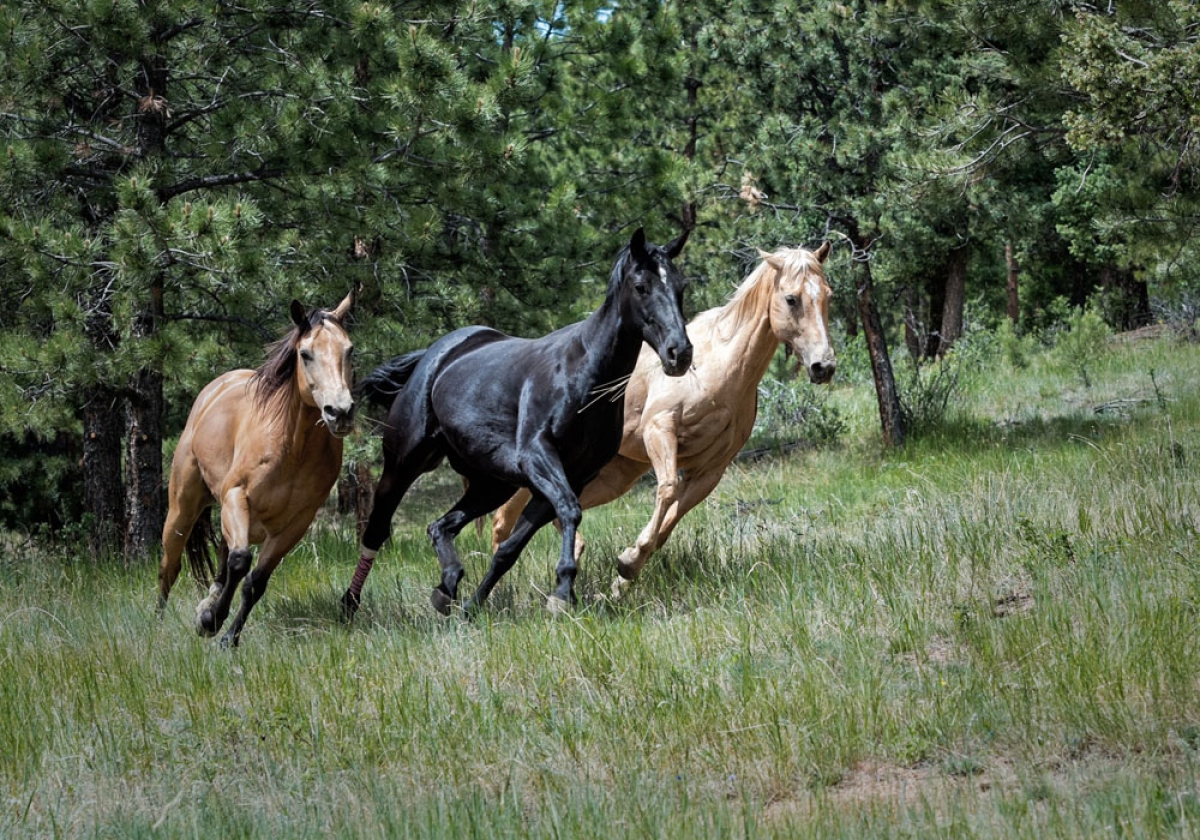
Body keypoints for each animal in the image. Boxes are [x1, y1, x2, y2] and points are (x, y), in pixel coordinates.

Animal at [153, 285, 355, 648]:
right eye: (306, 354)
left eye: (349, 350)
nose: (340, 412)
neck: (292, 447)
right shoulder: (236, 496)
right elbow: (240, 561)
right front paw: (212, 620)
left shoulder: (295, 524)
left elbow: (255, 581)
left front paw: (226, 636)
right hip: (182, 509)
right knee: (169, 567)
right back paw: (157, 626)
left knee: (221, 557)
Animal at [340, 229, 696, 619]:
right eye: (641, 285)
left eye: (680, 285)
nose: (679, 353)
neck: (584, 374)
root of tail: (434, 356)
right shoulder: (538, 457)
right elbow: (569, 510)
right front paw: (562, 592)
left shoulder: (568, 476)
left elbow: (510, 548)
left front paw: (474, 606)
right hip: (403, 464)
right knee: (376, 530)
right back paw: (349, 603)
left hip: (492, 484)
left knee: (440, 526)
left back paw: (447, 587)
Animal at [487, 242, 835, 597]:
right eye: (791, 299)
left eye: (827, 295)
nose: (823, 366)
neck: (720, 366)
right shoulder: (660, 431)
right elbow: (667, 490)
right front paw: (628, 562)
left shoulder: (711, 469)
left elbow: (672, 518)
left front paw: (625, 571)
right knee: (505, 518)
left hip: (615, 475)